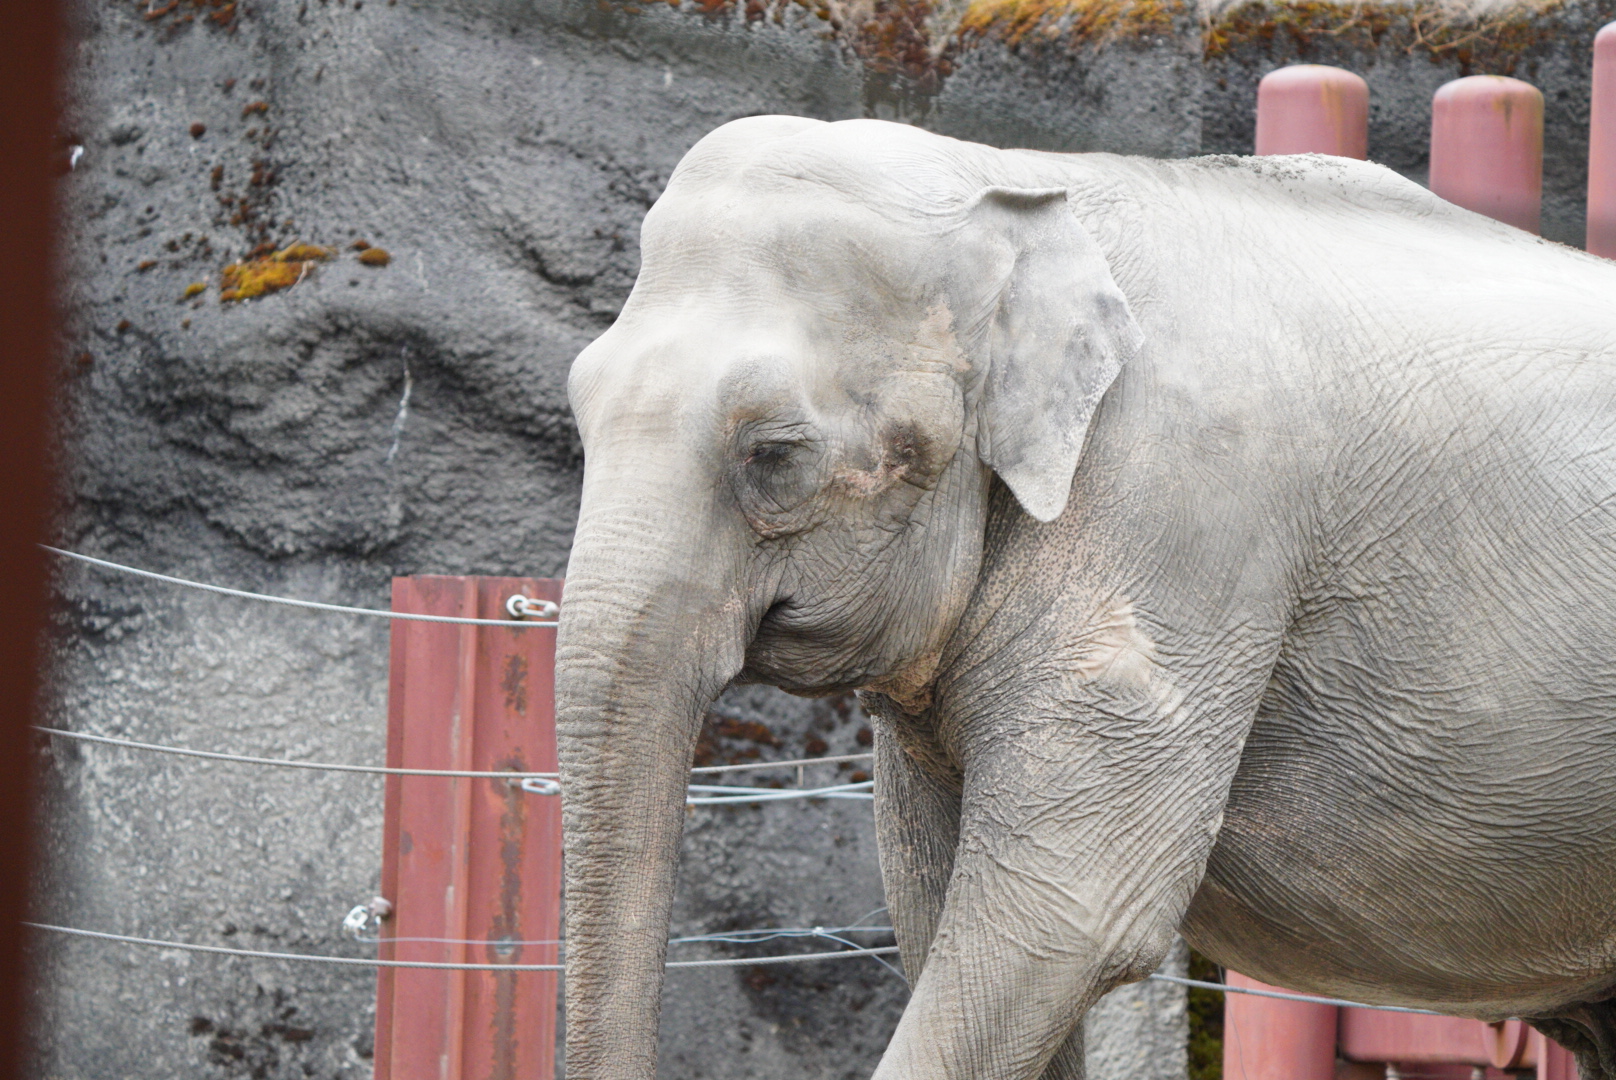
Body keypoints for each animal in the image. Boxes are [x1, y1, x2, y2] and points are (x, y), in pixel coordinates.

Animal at [553, 114, 1616, 1080]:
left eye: (773, 454)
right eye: (578, 408)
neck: (1010, 177)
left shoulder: (1186, 505)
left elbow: (1062, 917)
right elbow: (936, 913)